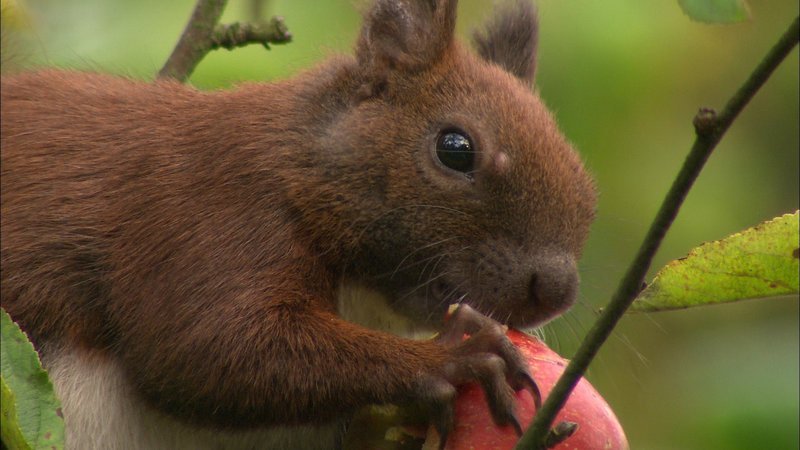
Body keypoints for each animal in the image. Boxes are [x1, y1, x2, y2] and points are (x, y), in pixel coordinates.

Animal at [0, 0, 596, 449]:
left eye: (590, 192)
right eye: (455, 149)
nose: (555, 289)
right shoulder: (207, 211)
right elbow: (207, 344)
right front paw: (454, 357)